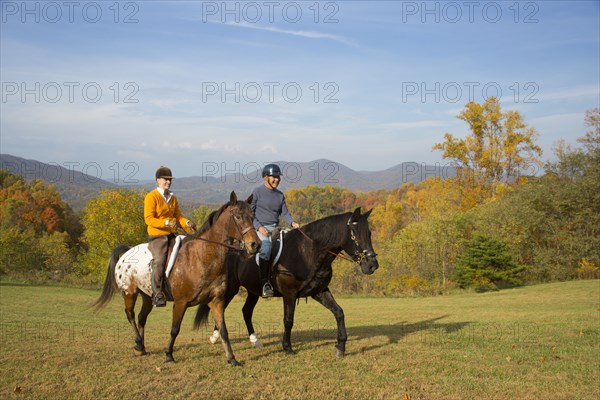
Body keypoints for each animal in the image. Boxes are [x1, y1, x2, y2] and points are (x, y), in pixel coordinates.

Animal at [94, 192, 260, 364]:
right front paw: (168, 355)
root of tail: (127, 252)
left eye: (252, 216)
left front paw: (232, 359)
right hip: (129, 293)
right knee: (130, 315)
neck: (201, 258)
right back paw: (139, 342)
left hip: (147, 296)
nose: (255, 245)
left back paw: (141, 348)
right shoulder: (181, 303)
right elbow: (175, 329)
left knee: (141, 317)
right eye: (238, 216)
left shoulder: (216, 301)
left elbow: (223, 330)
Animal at [195, 206, 378, 356]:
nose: (372, 265)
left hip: (253, 290)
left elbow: (339, 312)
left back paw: (254, 340)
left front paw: (340, 347)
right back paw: (214, 337)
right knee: (222, 309)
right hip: (231, 289)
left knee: (246, 311)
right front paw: (287, 347)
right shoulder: (289, 294)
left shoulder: (319, 291)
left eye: (369, 233)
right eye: (355, 234)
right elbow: (288, 320)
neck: (307, 252)